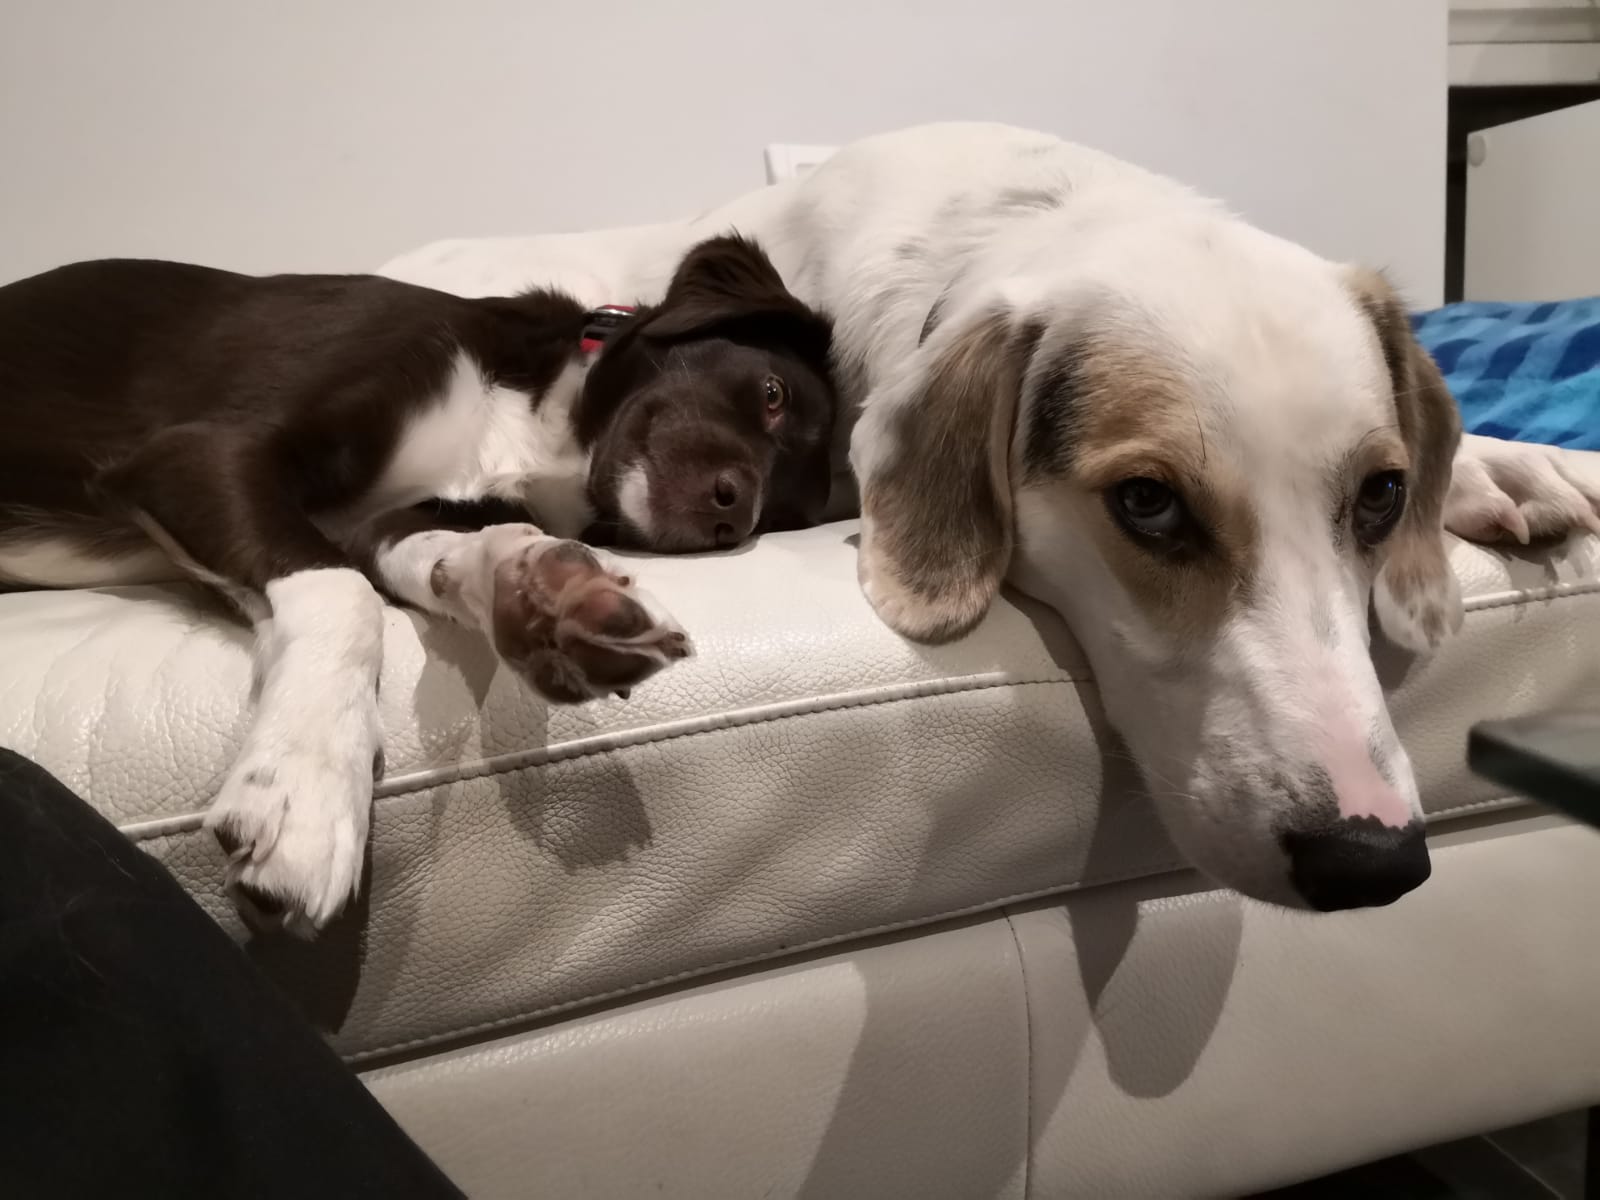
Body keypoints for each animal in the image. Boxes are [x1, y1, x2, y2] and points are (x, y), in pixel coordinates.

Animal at [0, 233, 837, 930]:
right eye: (772, 394)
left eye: (782, 517)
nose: (735, 513)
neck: (546, 429)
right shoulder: (200, 452)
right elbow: (344, 592)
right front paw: (307, 789)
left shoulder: (390, 523)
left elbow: (439, 556)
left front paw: (549, 591)